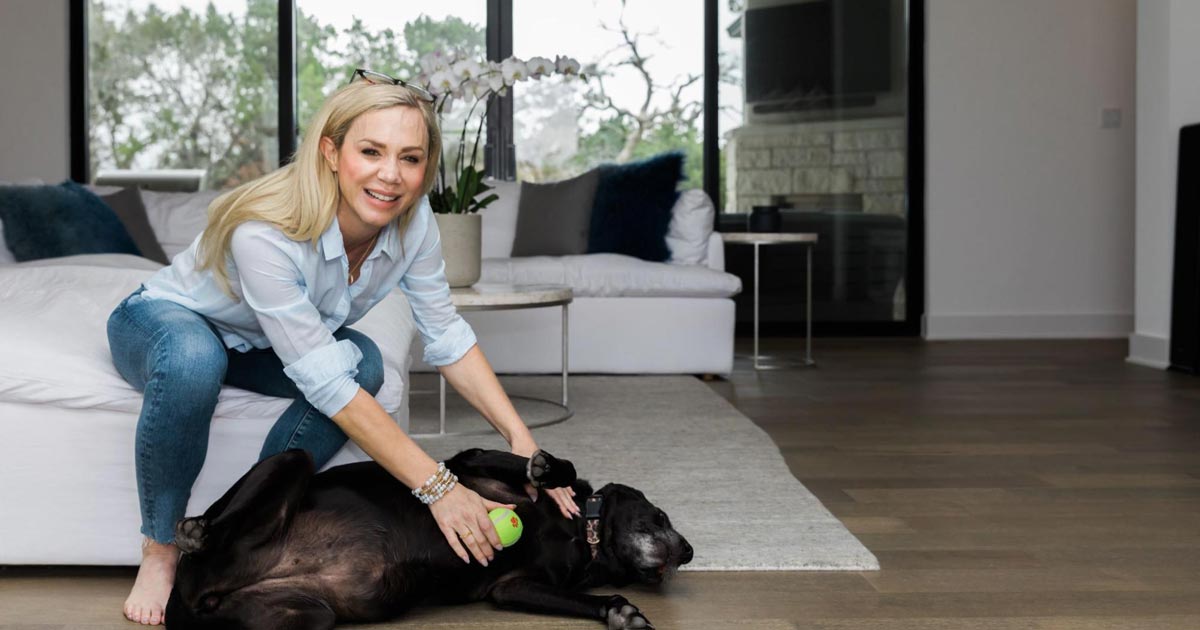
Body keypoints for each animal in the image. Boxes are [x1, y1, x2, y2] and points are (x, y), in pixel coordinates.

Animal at [164, 448, 692, 629]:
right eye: (661, 515)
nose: (688, 552)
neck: (582, 535)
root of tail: (190, 599)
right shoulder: (469, 462)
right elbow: (548, 469)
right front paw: (546, 468)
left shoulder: (514, 587)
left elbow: (594, 600)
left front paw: (620, 612)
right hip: (293, 459)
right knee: (212, 531)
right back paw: (194, 531)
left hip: (307, 618)